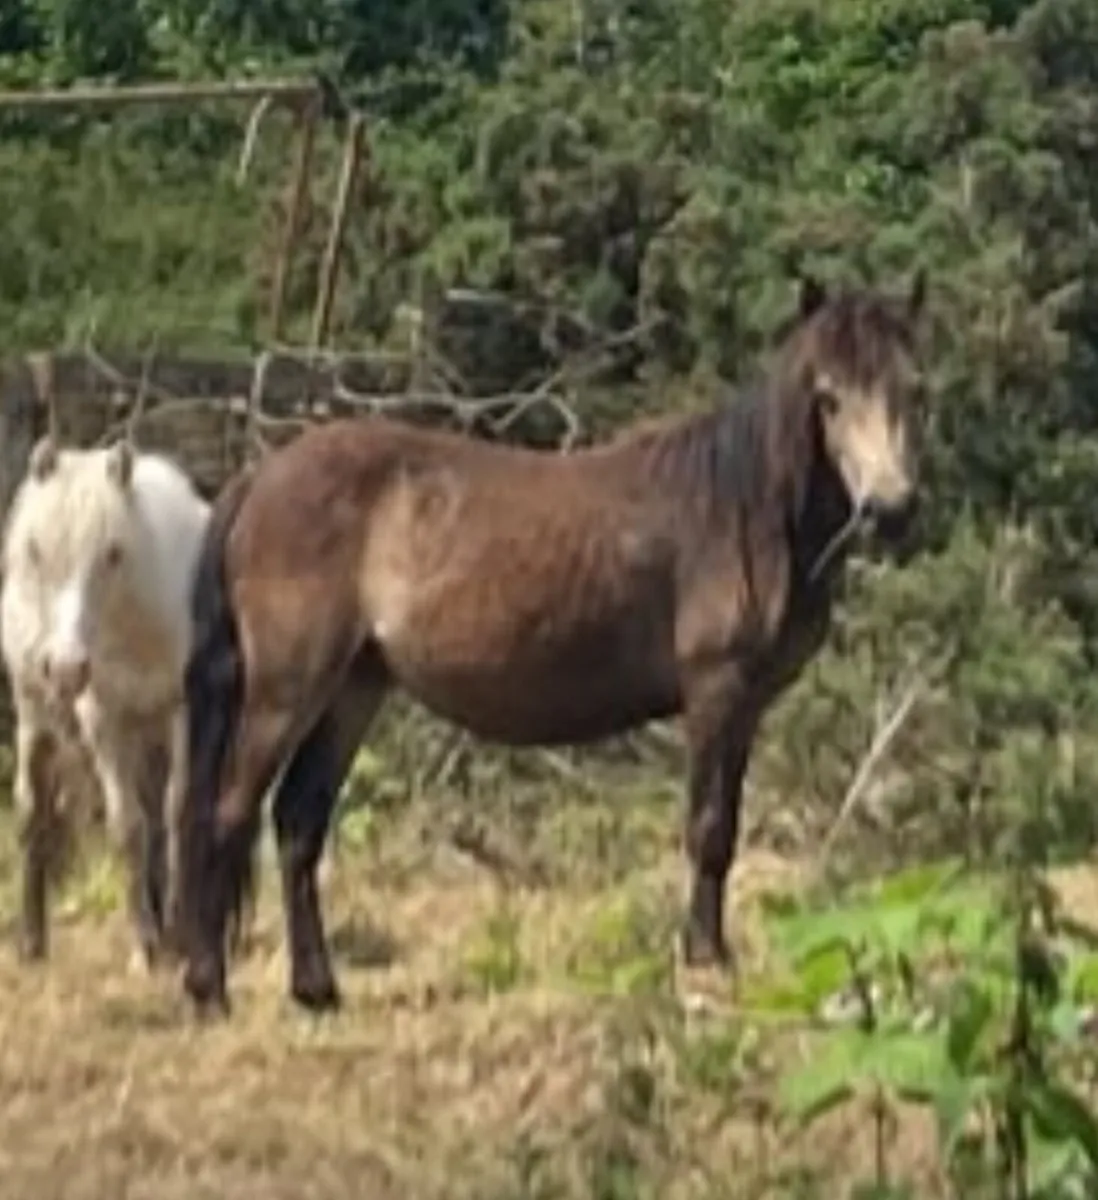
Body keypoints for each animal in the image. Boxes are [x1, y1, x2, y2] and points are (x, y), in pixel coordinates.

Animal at [0, 437, 211, 970]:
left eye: (113, 554)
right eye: (36, 551)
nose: (66, 667)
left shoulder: (183, 714)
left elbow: (177, 814)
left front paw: (180, 933)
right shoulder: (106, 723)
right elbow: (127, 828)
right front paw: (145, 946)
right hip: (35, 717)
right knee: (33, 813)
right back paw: (32, 941)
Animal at [179, 270, 930, 1016]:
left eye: (913, 388)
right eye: (828, 398)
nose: (891, 509)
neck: (745, 510)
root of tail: (260, 478)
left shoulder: (746, 709)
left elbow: (727, 827)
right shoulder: (716, 691)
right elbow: (709, 828)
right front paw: (705, 959)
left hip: (354, 689)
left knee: (298, 823)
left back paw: (316, 989)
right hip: (285, 691)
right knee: (230, 814)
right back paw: (209, 988)